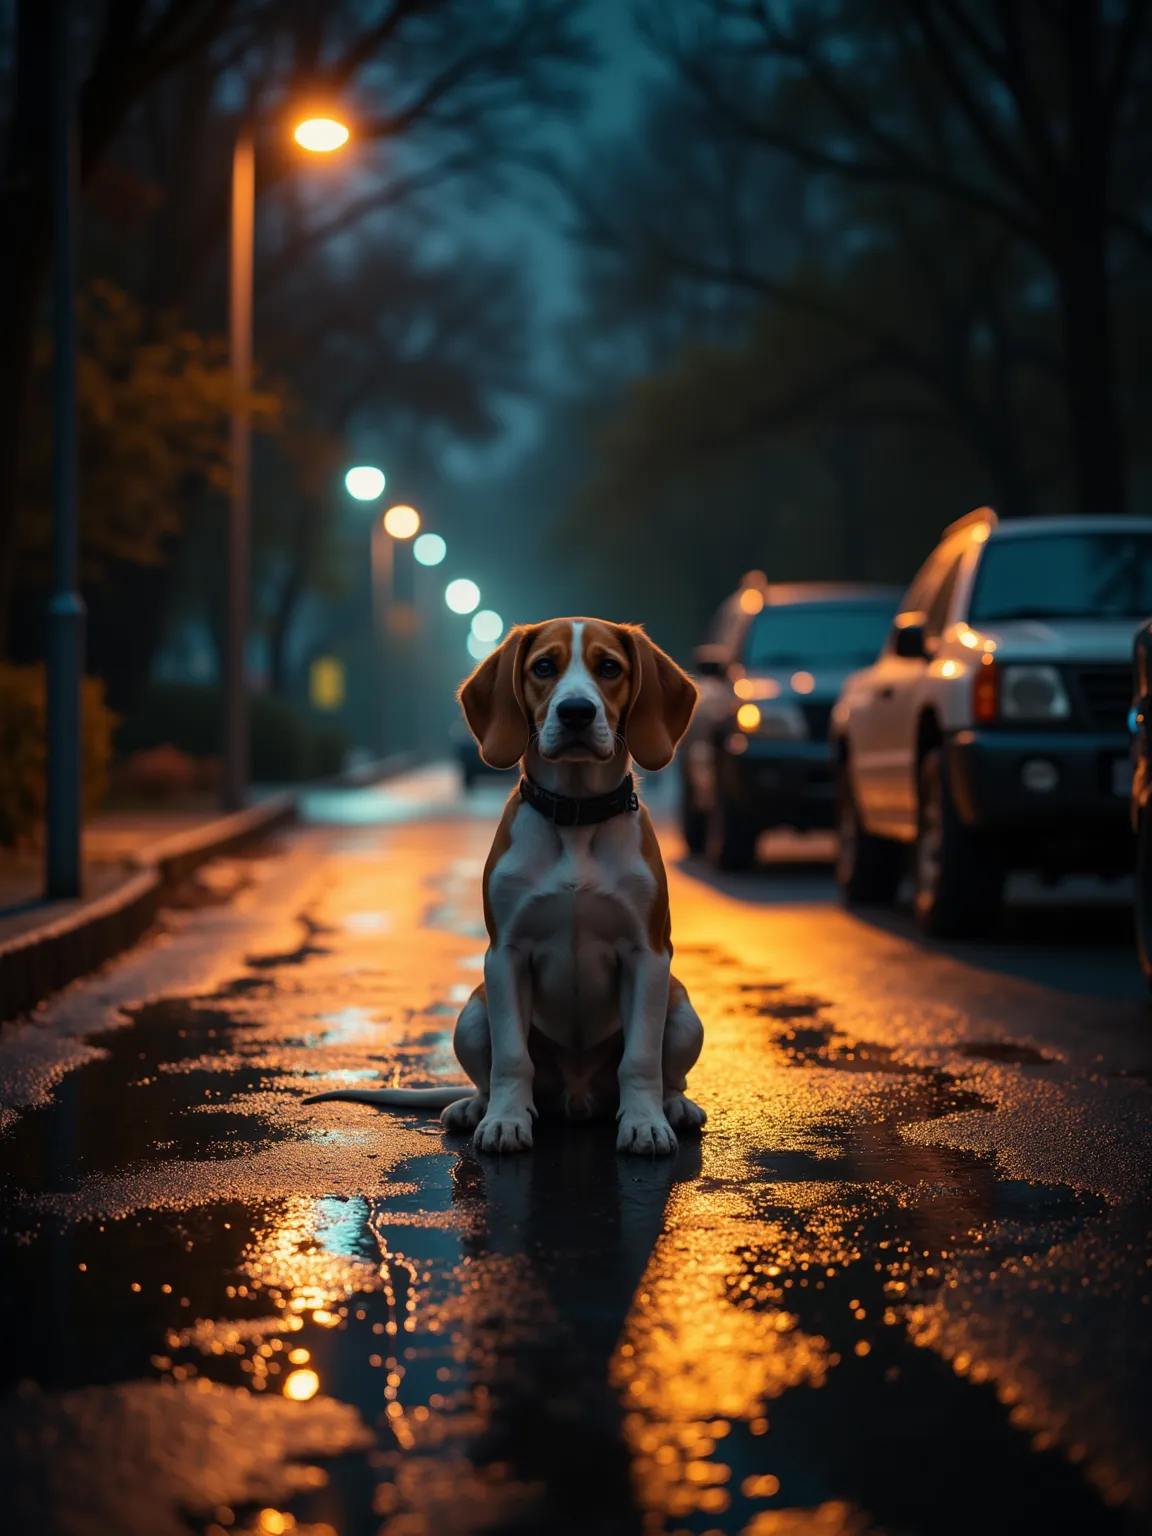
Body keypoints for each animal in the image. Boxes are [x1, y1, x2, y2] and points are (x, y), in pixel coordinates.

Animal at [307, 617, 703, 1155]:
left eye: (609, 668)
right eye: (544, 666)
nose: (576, 712)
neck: (576, 817)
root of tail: (578, 1098)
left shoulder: (648, 955)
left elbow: (640, 1059)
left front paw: (644, 1123)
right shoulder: (506, 955)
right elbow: (513, 1058)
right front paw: (505, 1121)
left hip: (683, 1011)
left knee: (669, 1075)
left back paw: (673, 1107)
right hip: (473, 1012)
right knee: (490, 1074)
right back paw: (476, 1107)